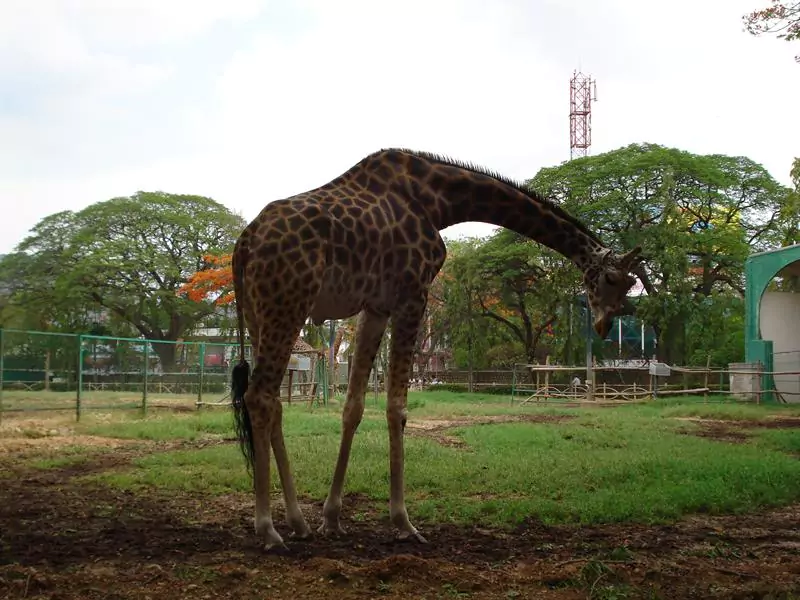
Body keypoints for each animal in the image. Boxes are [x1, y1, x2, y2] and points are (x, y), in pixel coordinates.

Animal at [228, 148, 640, 552]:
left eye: (628, 283)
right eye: (612, 278)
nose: (605, 324)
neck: (439, 201)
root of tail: (244, 243)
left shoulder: (376, 306)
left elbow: (354, 407)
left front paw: (332, 518)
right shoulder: (413, 292)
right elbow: (396, 408)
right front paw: (403, 523)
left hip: (261, 315)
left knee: (274, 402)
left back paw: (298, 523)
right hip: (289, 303)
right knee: (260, 396)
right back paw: (268, 529)